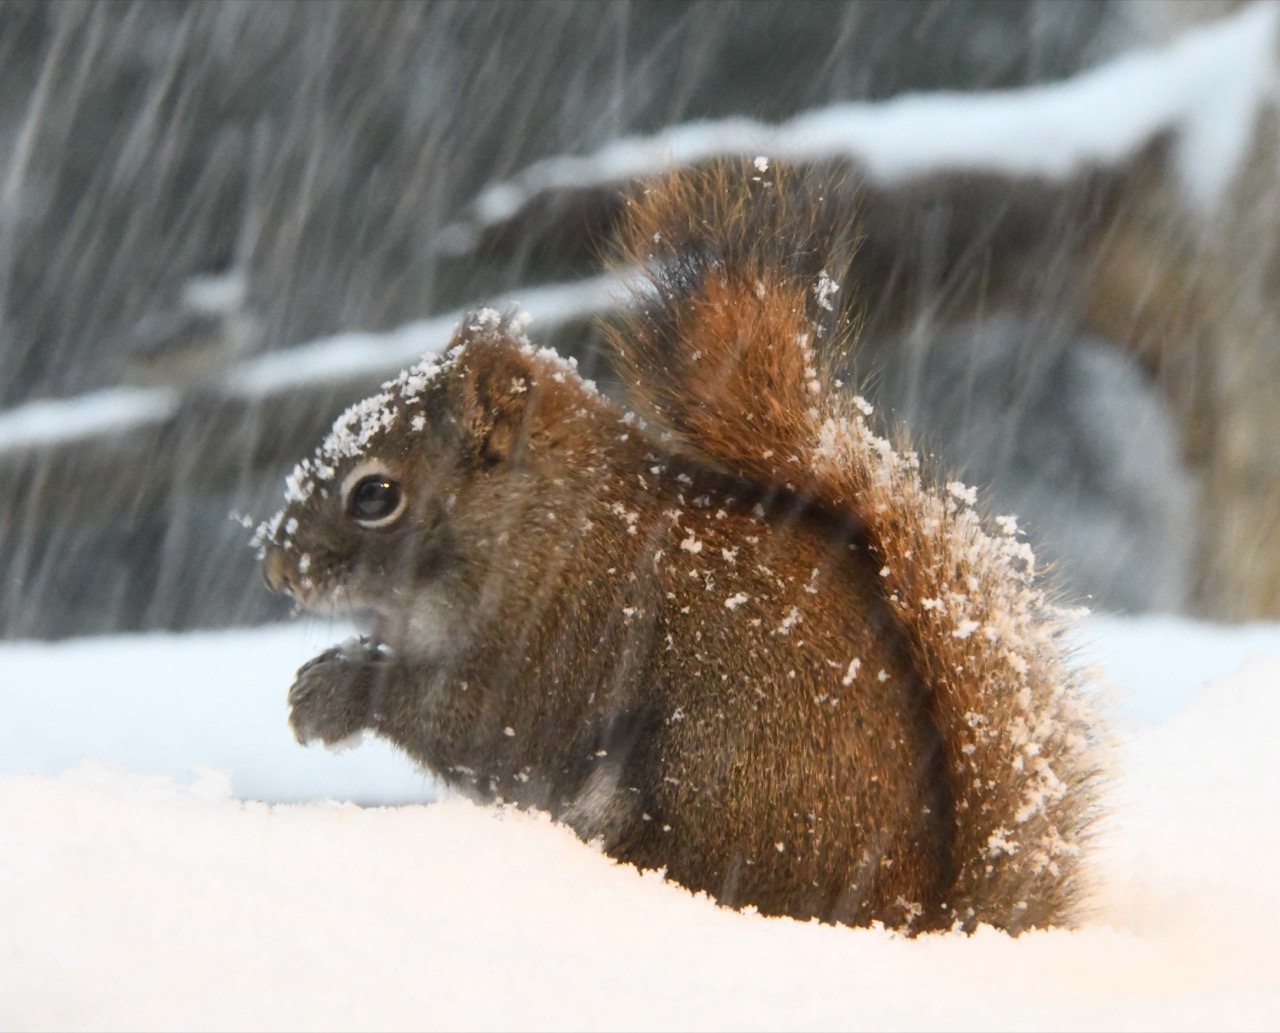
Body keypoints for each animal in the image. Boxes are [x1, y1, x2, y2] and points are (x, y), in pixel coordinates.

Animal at [257, 160, 1101, 934]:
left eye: (375, 494)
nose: (276, 568)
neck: (538, 522)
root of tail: (910, 913)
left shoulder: (558, 637)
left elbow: (474, 723)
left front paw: (333, 691)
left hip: (712, 787)